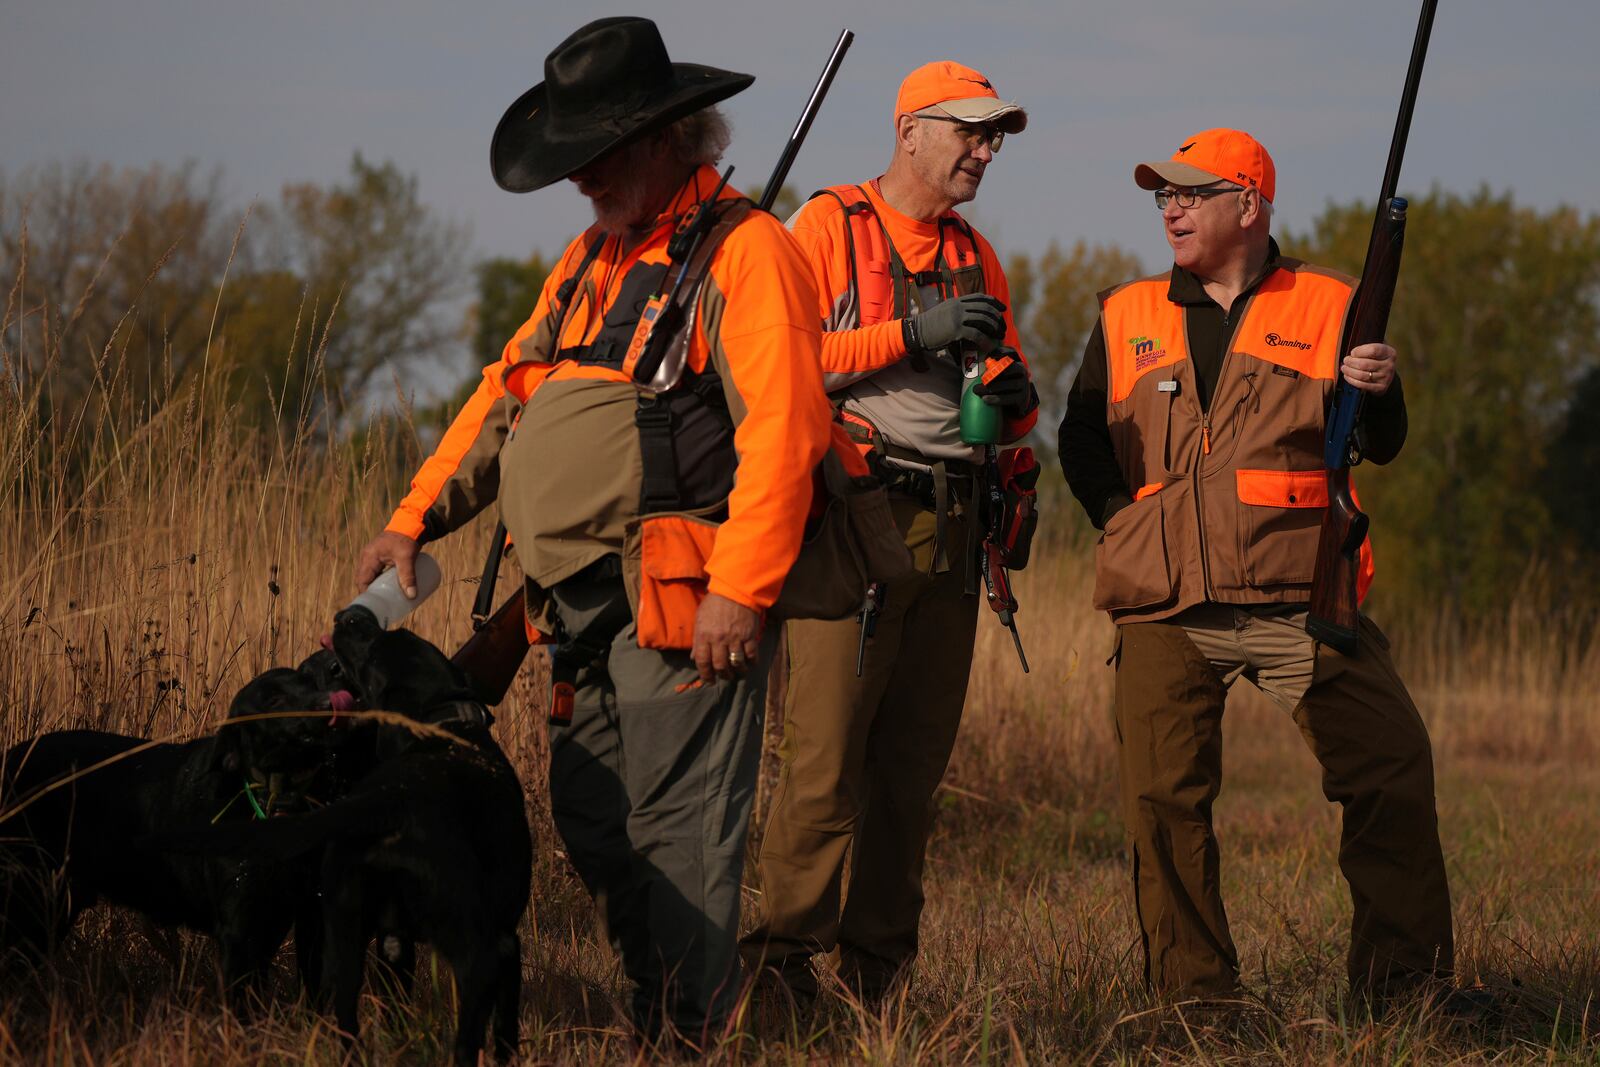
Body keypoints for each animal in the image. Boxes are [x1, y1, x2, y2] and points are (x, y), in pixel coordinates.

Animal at [0, 662, 352, 1004]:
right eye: (275, 700)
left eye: (312, 684)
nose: (330, 704)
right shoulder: (241, 928)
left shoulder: (310, 915)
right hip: (30, 896)